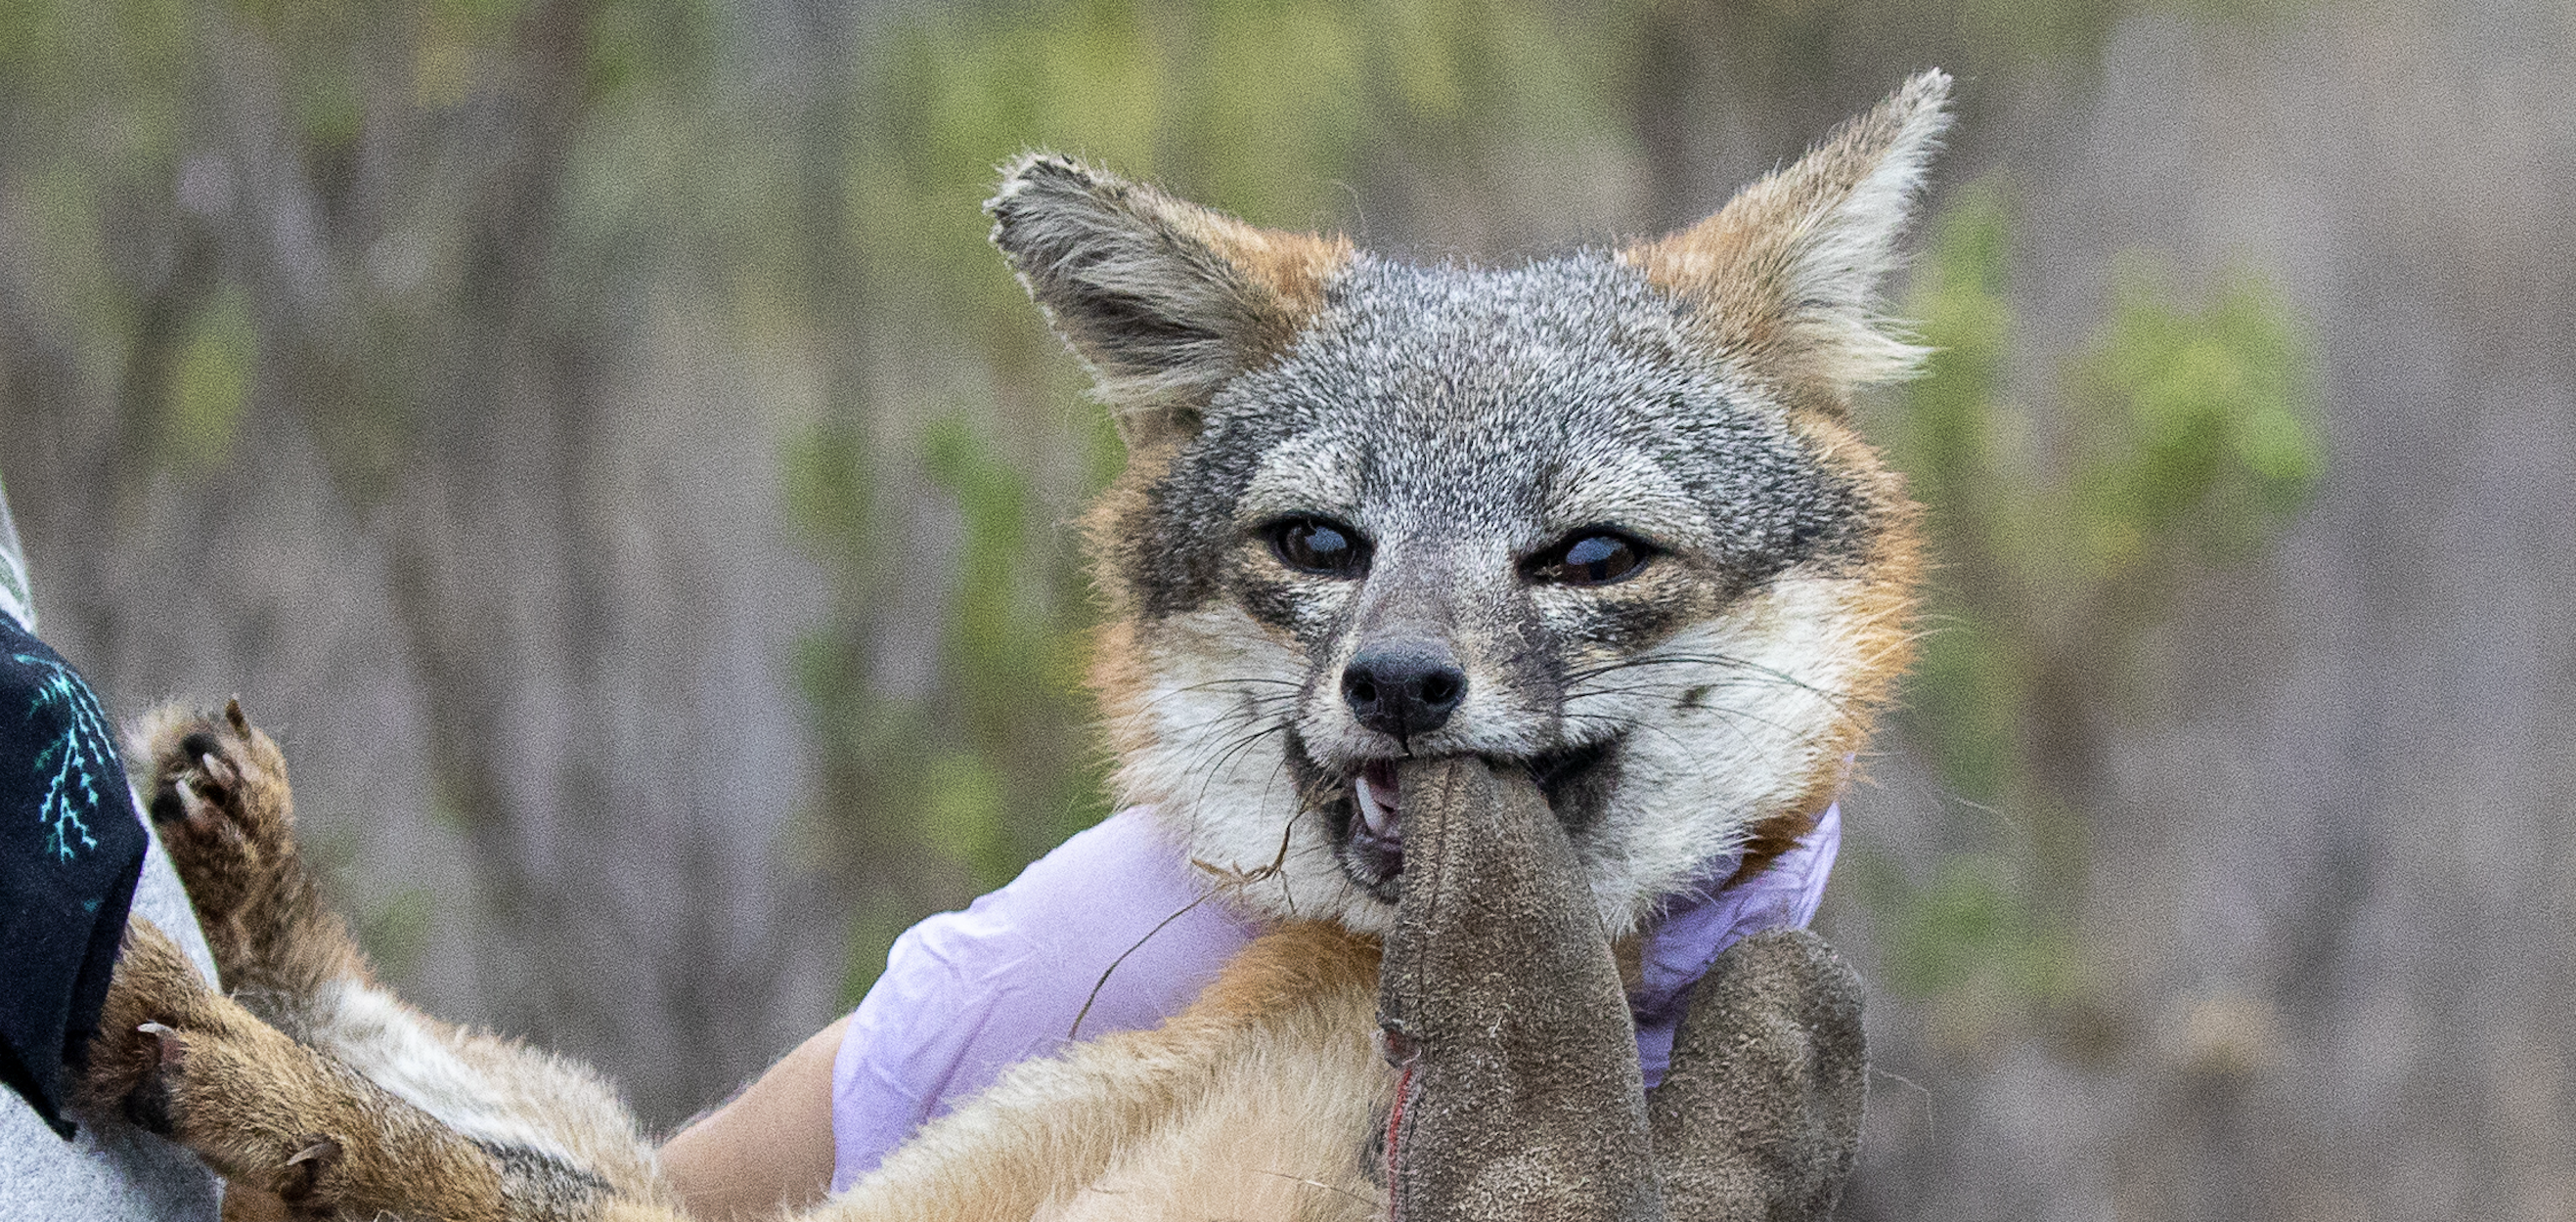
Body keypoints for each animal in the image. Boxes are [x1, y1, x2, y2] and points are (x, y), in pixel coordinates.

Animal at [80, 69, 1936, 1222]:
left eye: (1588, 557)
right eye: (1320, 546)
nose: (1398, 680)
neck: (1335, 1020)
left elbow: (485, 1166)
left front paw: (264, 1071)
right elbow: (530, 1138)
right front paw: (262, 937)